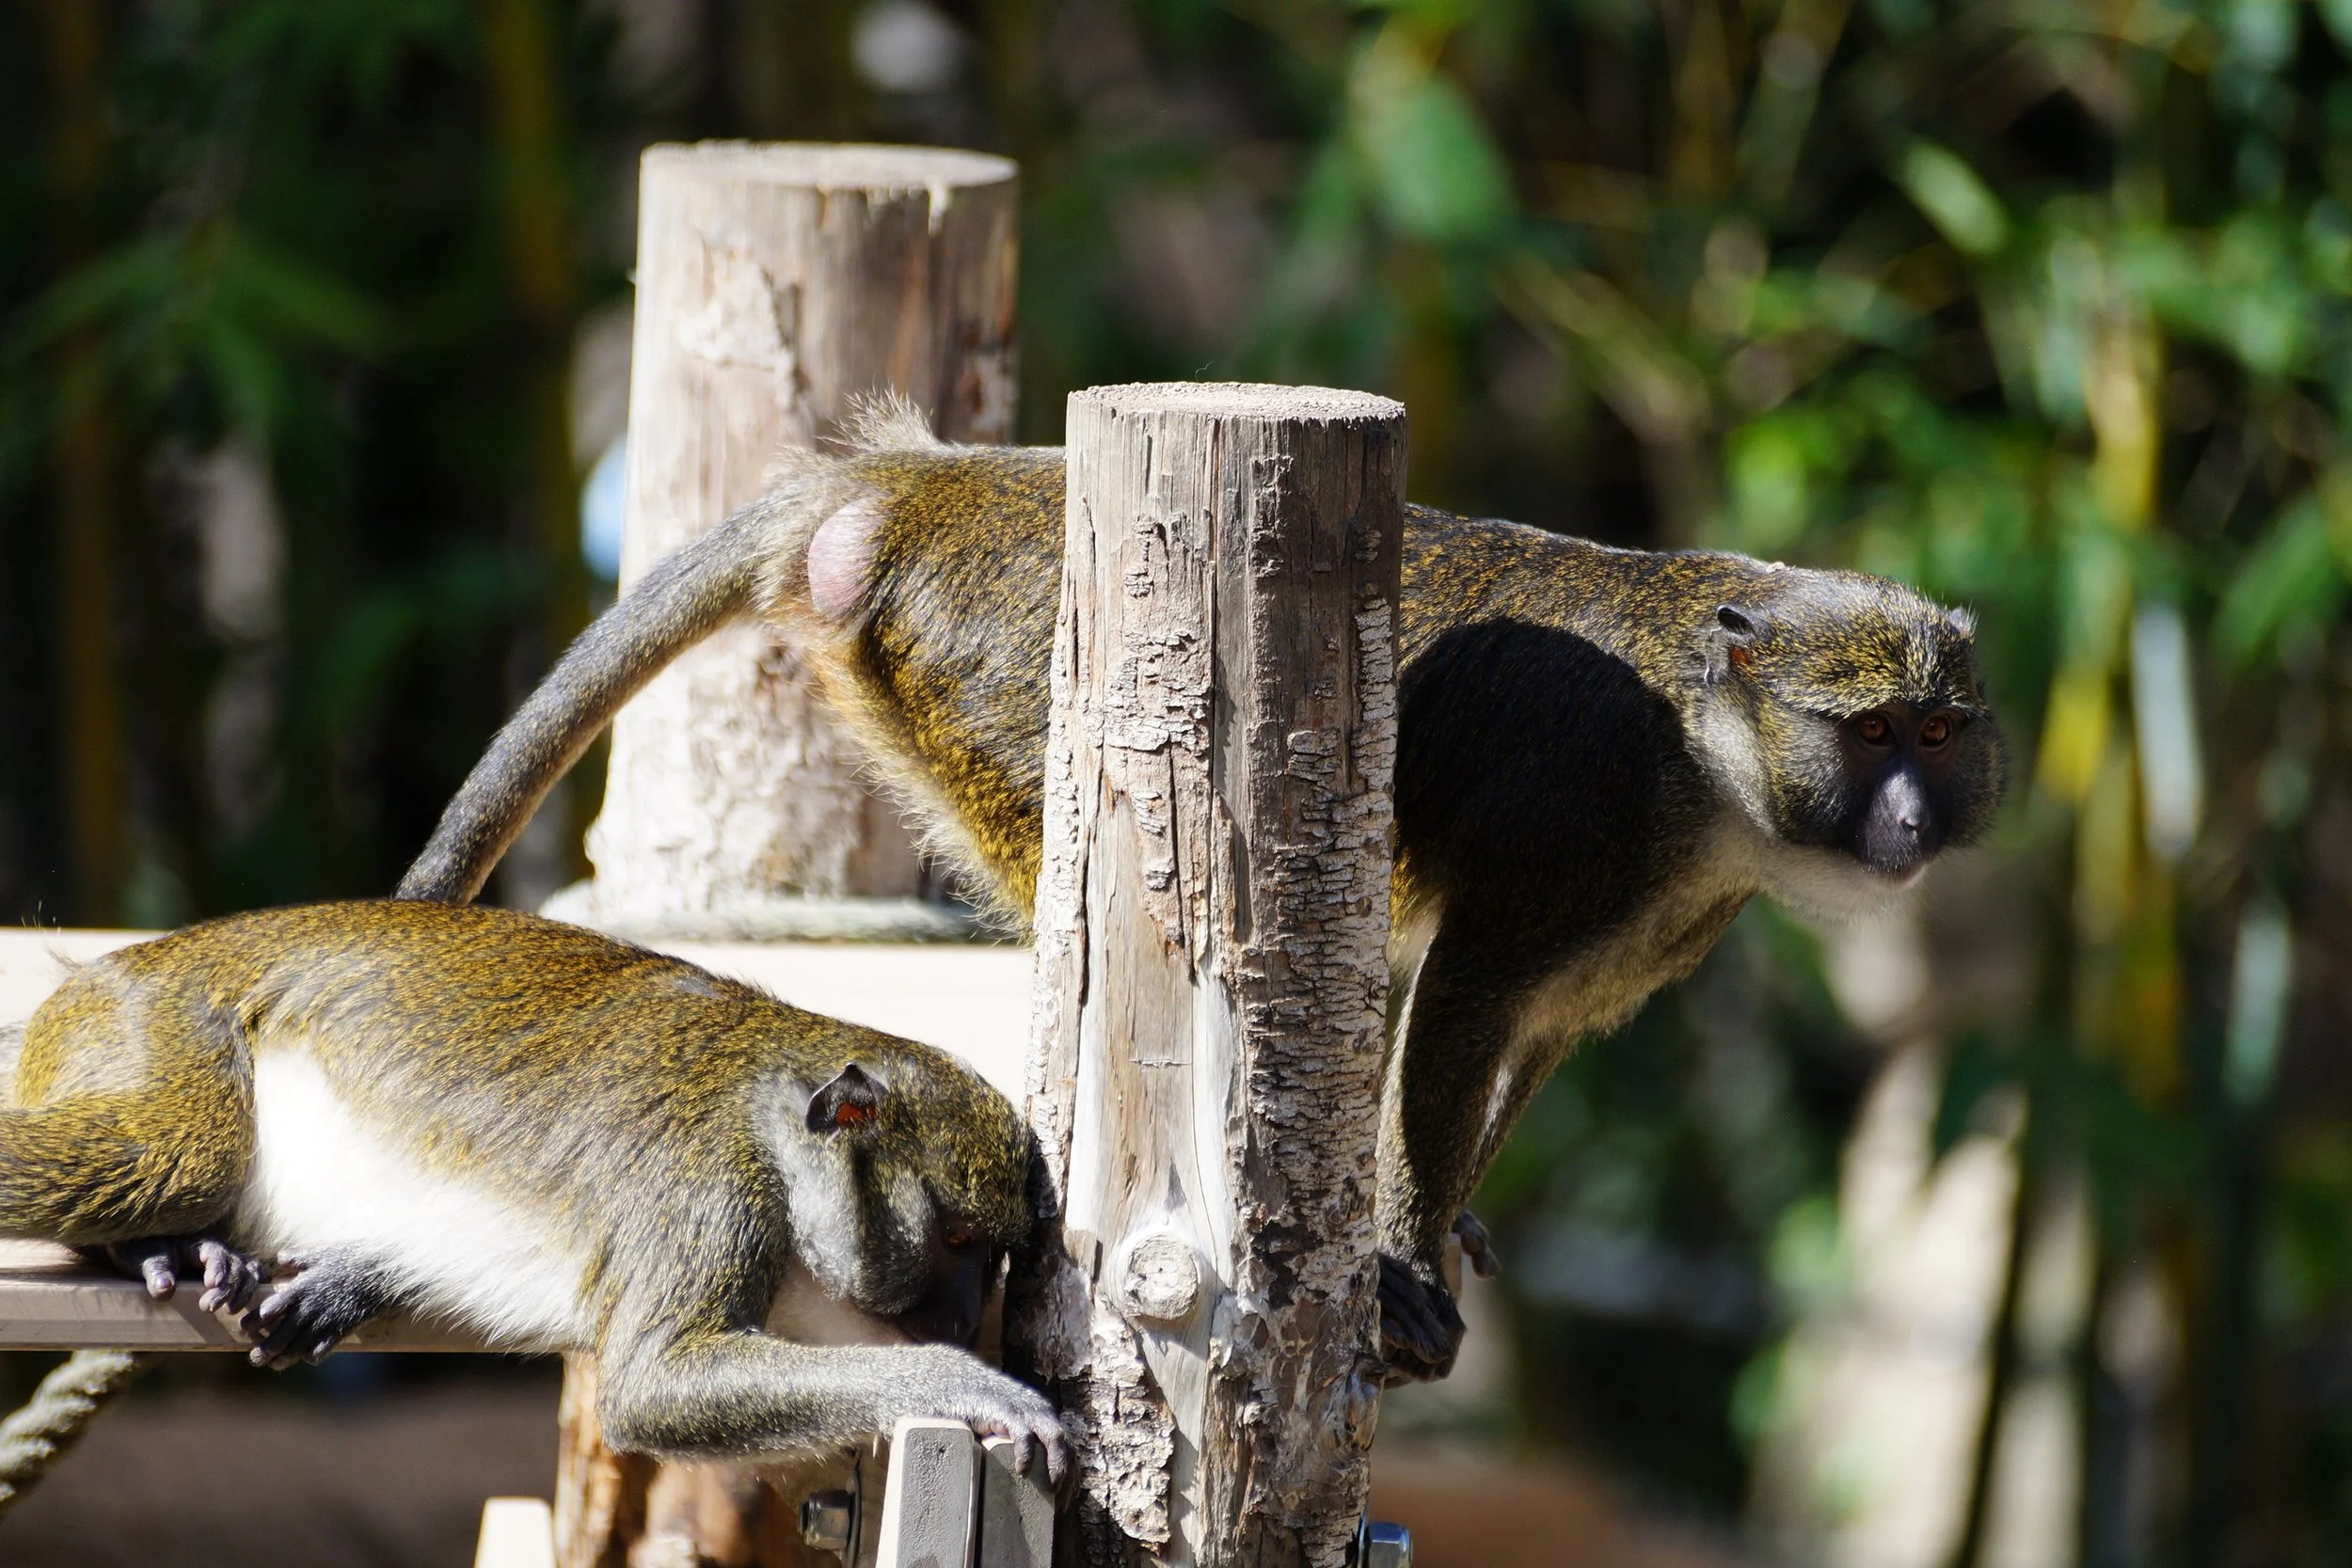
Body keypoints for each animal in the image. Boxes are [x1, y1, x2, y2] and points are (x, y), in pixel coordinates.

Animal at [0, 899, 1069, 1478]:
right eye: (958, 1240)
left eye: (995, 1253)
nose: (966, 1313)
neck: (771, 1117)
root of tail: (112, 967)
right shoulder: (707, 1187)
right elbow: (652, 1385)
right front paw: (964, 1383)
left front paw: (352, 1280)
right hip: (151, 1034)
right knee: (172, 1153)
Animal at [396, 401, 2008, 1382]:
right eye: (1871, 734)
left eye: (1938, 734)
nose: (1911, 814)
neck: (1718, 766)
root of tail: (929, 481)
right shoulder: (1589, 820)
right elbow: (1467, 1000)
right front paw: (1399, 1259)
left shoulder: (1665, 914)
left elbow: (1538, 1034)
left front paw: (1453, 1223)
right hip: (1007, 670)